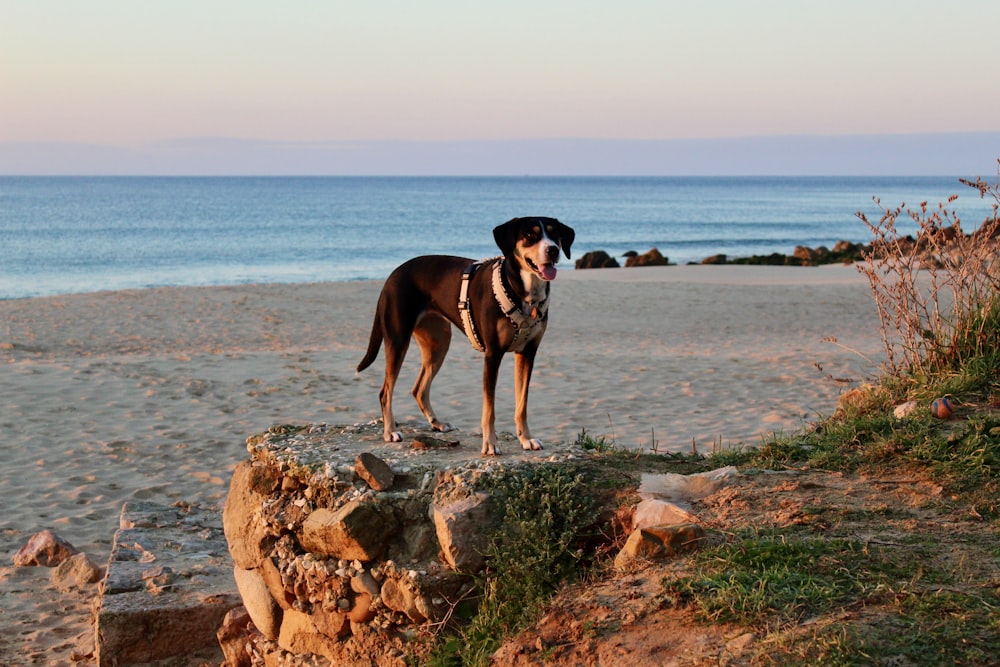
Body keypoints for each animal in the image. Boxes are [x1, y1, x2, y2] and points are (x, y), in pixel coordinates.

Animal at [360, 217, 580, 456]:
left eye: (554, 234)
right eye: (531, 235)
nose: (553, 250)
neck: (524, 292)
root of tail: (393, 275)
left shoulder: (527, 353)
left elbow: (522, 404)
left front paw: (526, 439)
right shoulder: (493, 355)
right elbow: (489, 408)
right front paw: (490, 444)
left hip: (439, 343)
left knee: (419, 389)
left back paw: (437, 423)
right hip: (398, 340)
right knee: (385, 392)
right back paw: (390, 431)